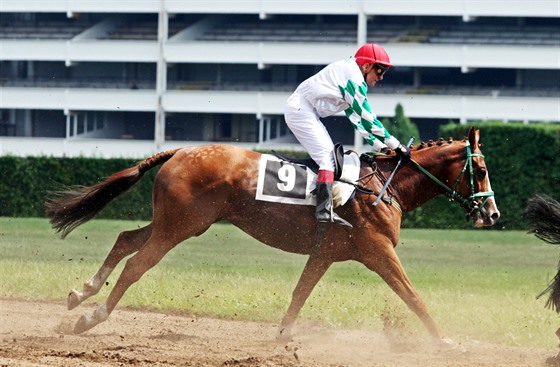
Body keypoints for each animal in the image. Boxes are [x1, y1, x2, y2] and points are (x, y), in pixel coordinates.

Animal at [44, 128, 498, 344]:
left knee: (125, 238)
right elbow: (413, 297)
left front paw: (282, 336)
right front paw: (445, 340)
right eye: (481, 169)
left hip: (178, 223)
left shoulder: (325, 253)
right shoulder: (378, 251)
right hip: (180, 226)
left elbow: (300, 293)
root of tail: (178, 152)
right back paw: (90, 317)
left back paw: (81, 293)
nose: (492, 213)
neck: (382, 186)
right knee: (137, 264)